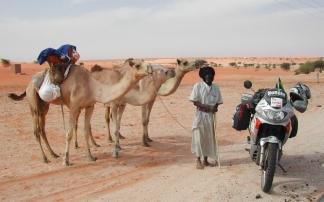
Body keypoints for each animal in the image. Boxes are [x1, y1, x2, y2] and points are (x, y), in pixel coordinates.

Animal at [7, 58, 153, 166]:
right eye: (138, 65)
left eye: (145, 62)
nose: (151, 69)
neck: (92, 87)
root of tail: (28, 84)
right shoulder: (74, 107)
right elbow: (69, 133)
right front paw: (66, 160)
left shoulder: (89, 106)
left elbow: (85, 131)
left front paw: (91, 156)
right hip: (34, 104)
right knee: (36, 130)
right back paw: (45, 158)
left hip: (44, 106)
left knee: (42, 129)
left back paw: (53, 154)